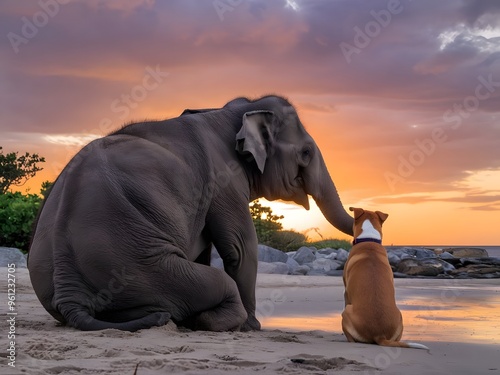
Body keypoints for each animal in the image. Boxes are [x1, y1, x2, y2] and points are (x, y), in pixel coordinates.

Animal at [28, 94, 356, 332]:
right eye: (306, 153)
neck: (231, 113)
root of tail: (69, 292)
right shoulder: (225, 181)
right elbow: (240, 248)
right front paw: (253, 327)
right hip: (138, 266)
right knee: (219, 283)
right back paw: (199, 321)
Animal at [342, 209, 428, 352]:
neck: (369, 239)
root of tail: (379, 335)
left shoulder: (346, 293)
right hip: (400, 317)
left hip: (346, 311)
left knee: (350, 337)